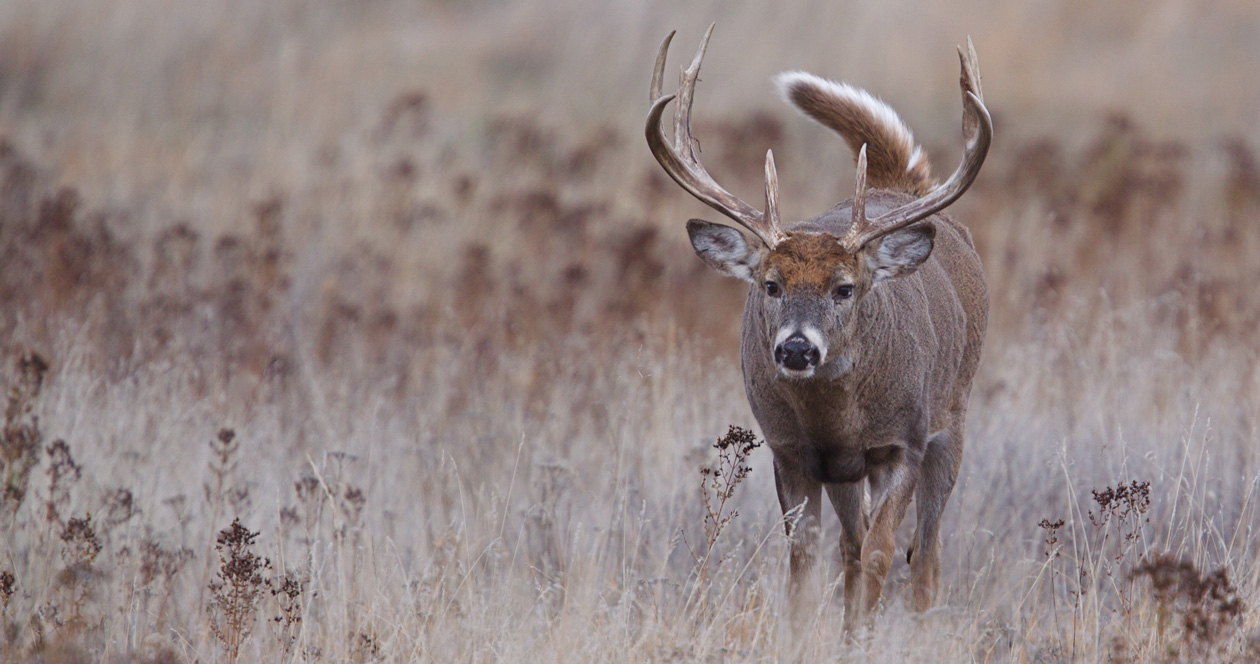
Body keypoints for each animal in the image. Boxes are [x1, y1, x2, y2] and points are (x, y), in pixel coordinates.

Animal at [650, 25, 992, 629]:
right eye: (770, 284)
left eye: (844, 287)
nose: (796, 350)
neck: (836, 422)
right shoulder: (791, 451)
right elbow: (806, 558)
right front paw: (808, 634)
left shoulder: (903, 441)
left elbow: (883, 552)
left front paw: (863, 634)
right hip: (847, 472)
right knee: (850, 545)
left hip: (953, 414)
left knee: (925, 553)